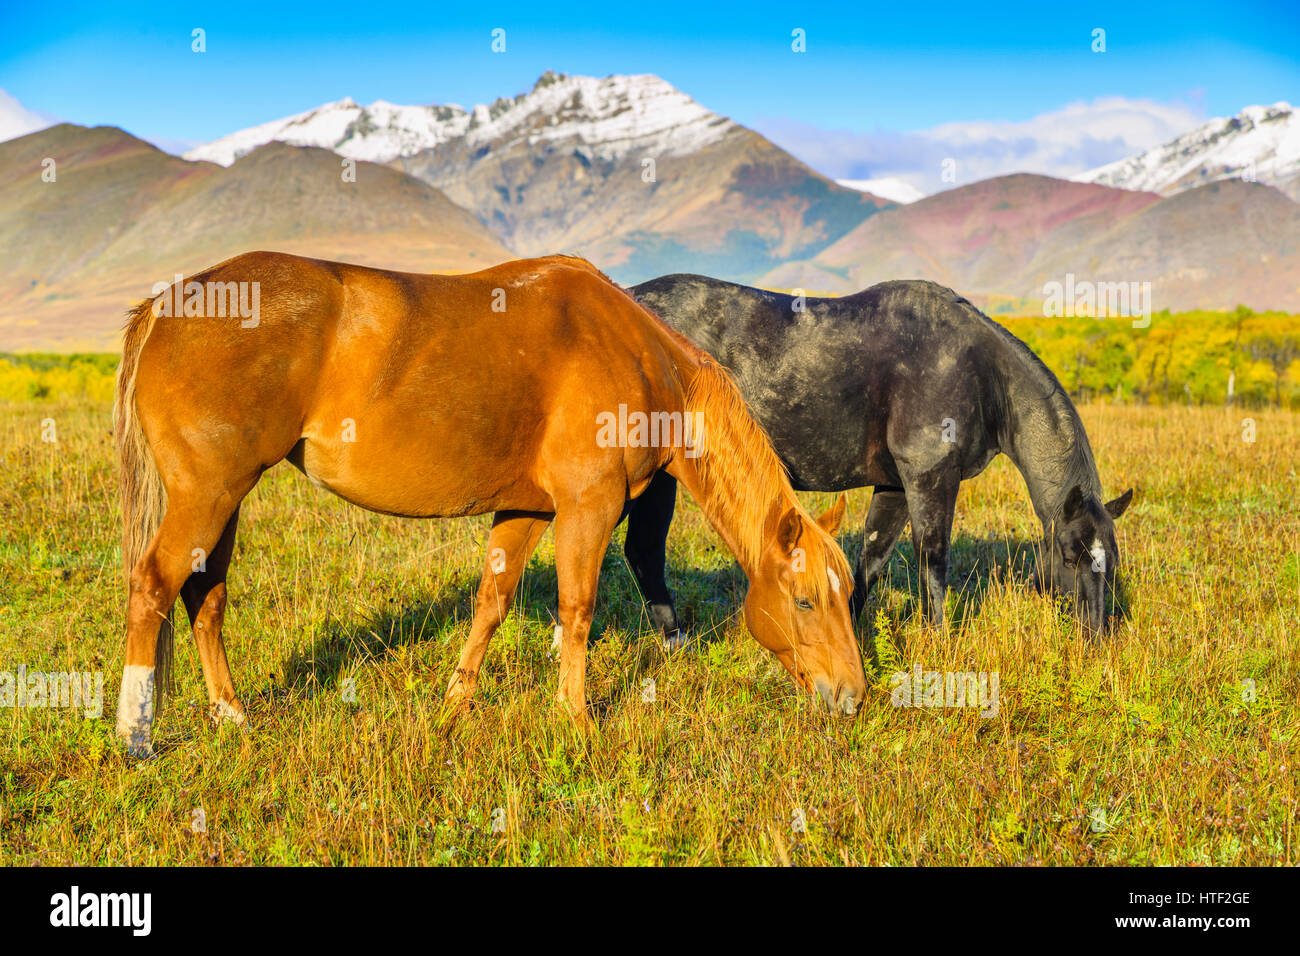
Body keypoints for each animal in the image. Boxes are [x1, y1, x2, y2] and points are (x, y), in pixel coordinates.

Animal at [112, 252, 867, 756]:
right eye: (805, 601)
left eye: (846, 596)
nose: (854, 698)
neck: (640, 356)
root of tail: (168, 305)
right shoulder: (588, 510)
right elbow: (577, 610)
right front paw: (577, 719)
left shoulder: (527, 513)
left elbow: (491, 605)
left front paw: (455, 704)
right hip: (209, 495)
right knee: (153, 585)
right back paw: (136, 733)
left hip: (226, 500)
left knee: (205, 596)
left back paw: (231, 714)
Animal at [623, 275, 1134, 637]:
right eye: (1068, 555)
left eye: (1111, 558)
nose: (1096, 636)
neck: (979, 372)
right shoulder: (930, 478)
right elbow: (933, 560)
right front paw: (938, 640)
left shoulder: (895, 485)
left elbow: (871, 556)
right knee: (642, 552)